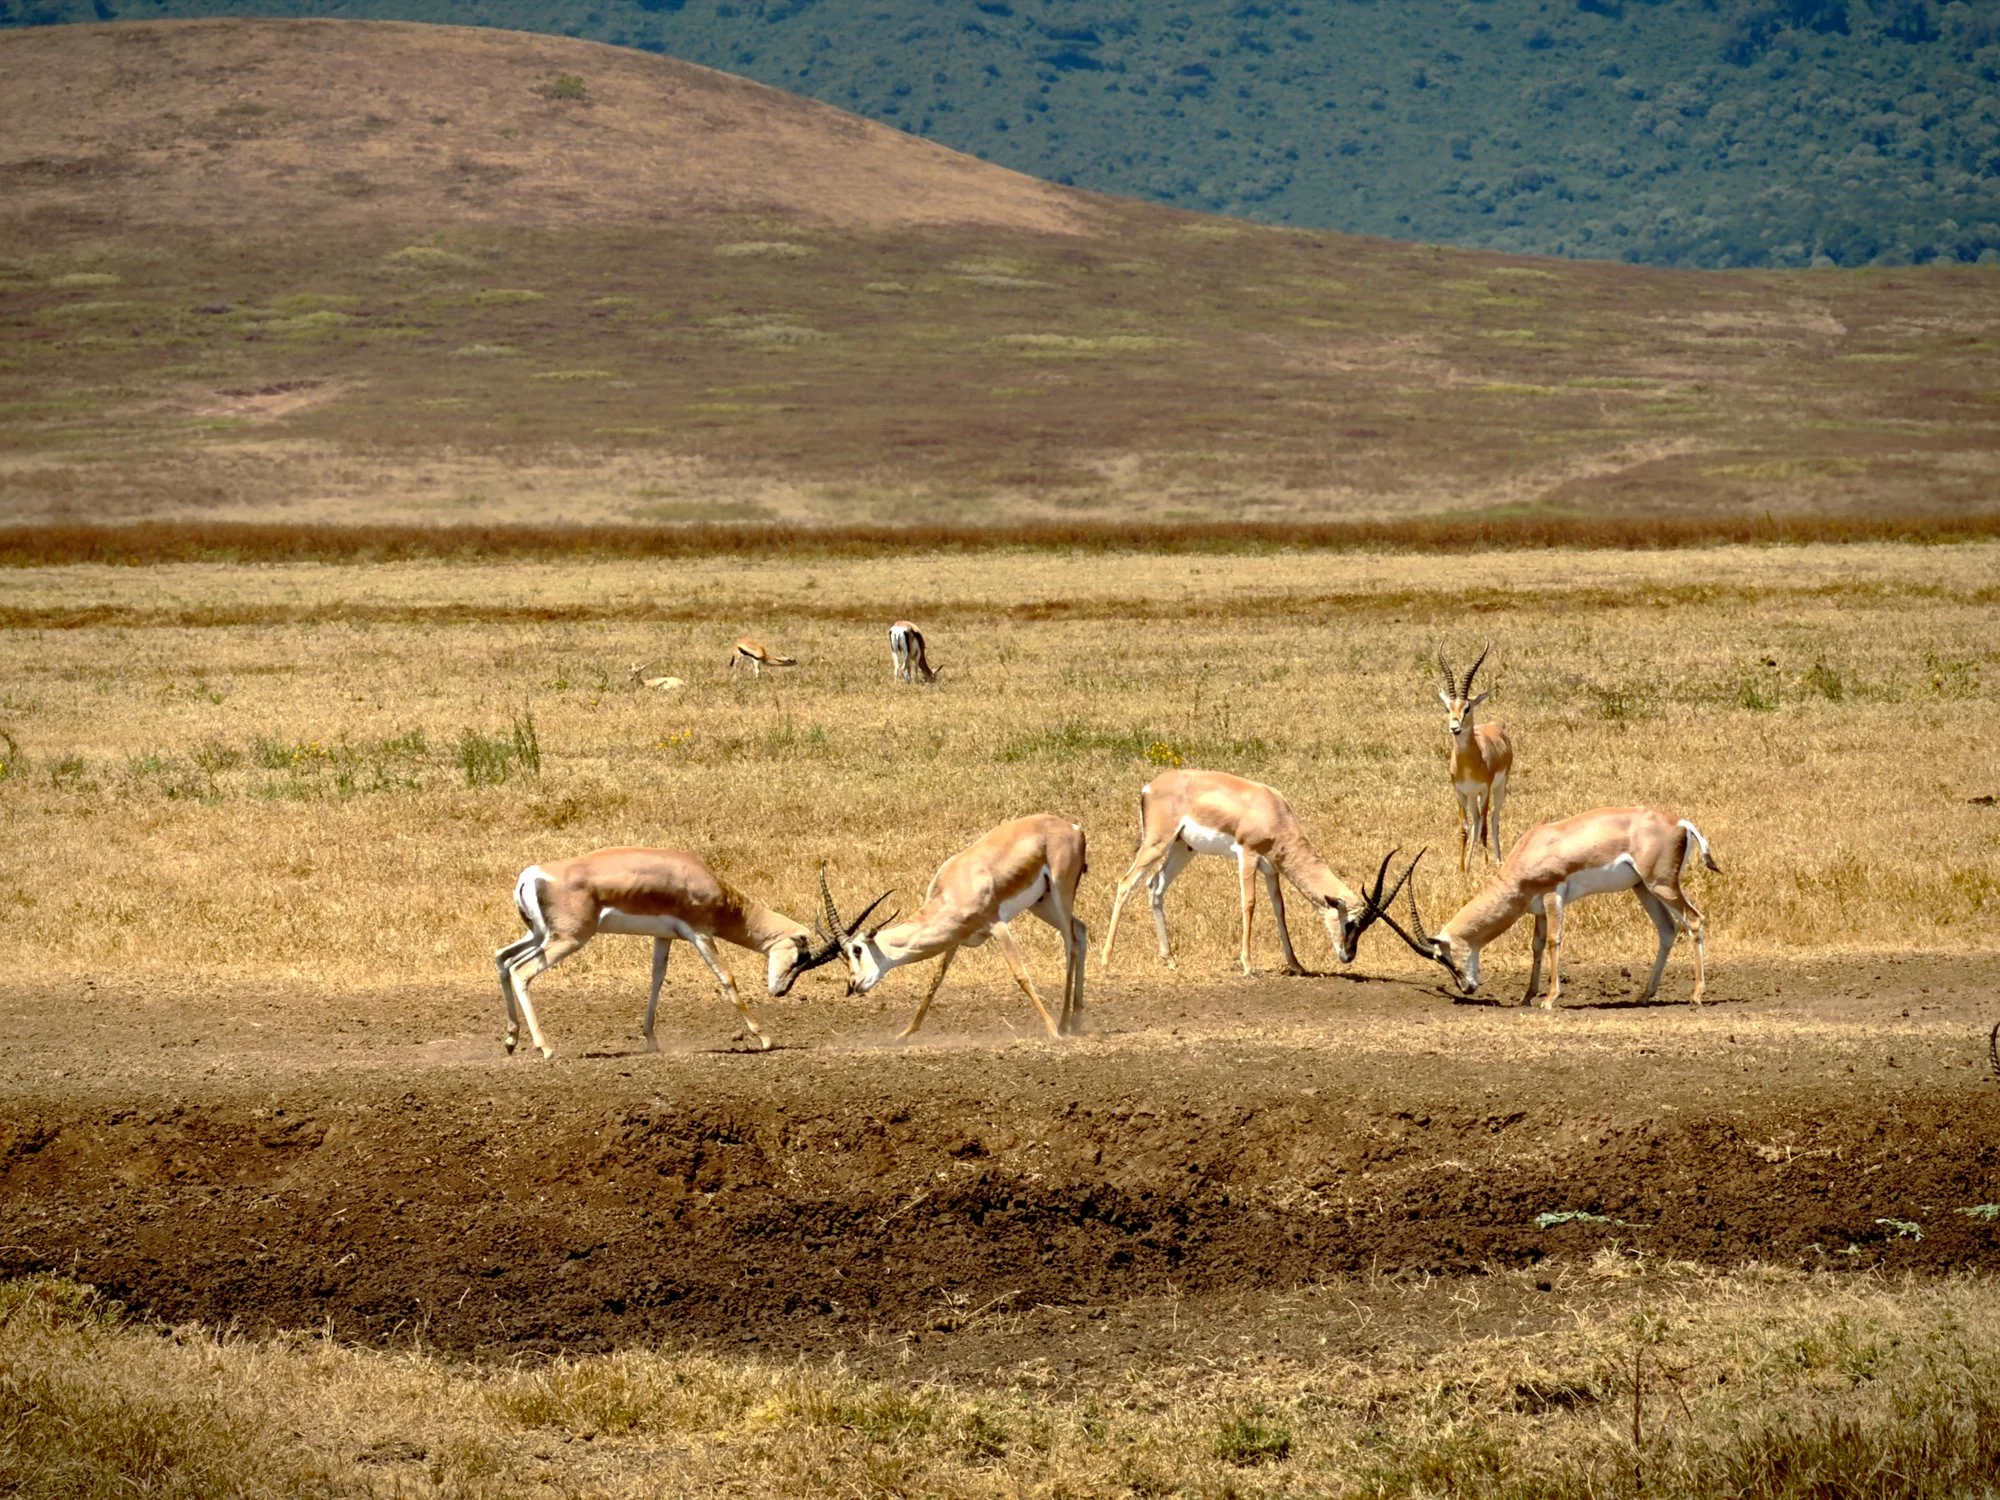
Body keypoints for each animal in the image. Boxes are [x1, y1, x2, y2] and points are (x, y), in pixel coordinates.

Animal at [494, 848, 848, 1058]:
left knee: (503, 959)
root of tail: (531, 875)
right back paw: (545, 1048)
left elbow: (657, 979)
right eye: (802, 957)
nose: (780, 991)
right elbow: (727, 979)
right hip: (567, 939)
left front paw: (651, 1040)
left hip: (540, 935)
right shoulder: (701, 934)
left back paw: (511, 1040)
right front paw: (765, 1038)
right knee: (520, 972)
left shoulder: (663, 937)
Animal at [824, 814, 1088, 1038]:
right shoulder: (956, 938)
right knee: (1081, 930)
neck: (954, 889)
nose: (853, 984)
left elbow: (1020, 975)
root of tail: (1073, 827)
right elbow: (936, 979)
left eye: (857, 950)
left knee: (1070, 944)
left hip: (1060, 891)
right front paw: (906, 1033)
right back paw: (1075, 1020)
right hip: (1042, 903)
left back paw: (1062, 1025)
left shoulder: (997, 925)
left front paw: (1052, 1032)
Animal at [1100, 768, 1413, 977]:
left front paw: (1296, 964)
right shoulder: (1247, 855)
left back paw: (1170, 960)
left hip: (1182, 848)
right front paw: (1248, 965)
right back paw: (1105, 960)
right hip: (1157, 843)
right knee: (1125, 883)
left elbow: (1279, 909)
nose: (1348, 955)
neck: (1273, 810)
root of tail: (1149, 787)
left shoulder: (1271, 868)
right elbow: (1249, 904)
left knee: (1155, 886)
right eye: (1349, 924)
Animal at [1370, 807, 1720, 1008]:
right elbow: (1536, 946)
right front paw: (1527, 996)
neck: (1532, 848)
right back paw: (1646, 995)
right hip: (1643, 888)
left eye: (1442, 957)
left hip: (1661, 885)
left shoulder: (1554, 895)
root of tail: (1679, 822)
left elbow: (1553, 941)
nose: (1466, 987)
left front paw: (1549, 999)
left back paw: (1697, 995)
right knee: (1668, 929)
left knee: (1694, 920)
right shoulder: (1537, 907)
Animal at [1437, 643, 1513, 873]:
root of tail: (1497, 727)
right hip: (1472, 796)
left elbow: (1486, 826)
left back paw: (1498, 861)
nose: (1455, 728)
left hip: (1499, 787)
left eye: (1467, 707)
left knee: (1493, 818)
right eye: (1448, 708)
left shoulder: (1485, 790)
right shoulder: (1460, 792)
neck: (1469, 763)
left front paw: (1486, 865)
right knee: (1476, 821)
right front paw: (1463, 869)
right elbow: (1465, 828)